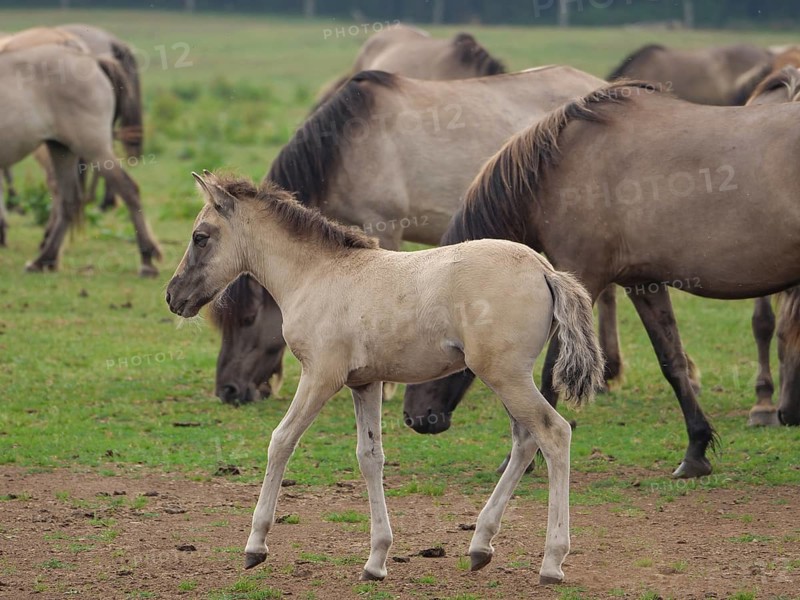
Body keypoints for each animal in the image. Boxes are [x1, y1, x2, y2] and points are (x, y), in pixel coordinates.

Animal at [0, 43, 161, 275]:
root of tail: (92, 60)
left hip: (94, 148)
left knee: (128, 190)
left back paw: (147, 259)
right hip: (62, 149)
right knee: (70, 200)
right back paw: (44, 260)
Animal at [166, 171, 604, 586]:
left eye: (200, 237)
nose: (173, 296)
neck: (317, 274)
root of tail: (546, 270)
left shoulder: (320, 376)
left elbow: (281, 440)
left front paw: (255, 545)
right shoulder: (365, 383)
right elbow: (370, 457)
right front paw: (376, 560)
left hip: (506, 376)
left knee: (553, 433)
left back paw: (552, 561)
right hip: (506, 377)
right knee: (525, 441)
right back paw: (480, 545)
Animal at [405, 80, 800, 479]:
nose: (415, 417)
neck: (559, 168)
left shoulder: (584, 279)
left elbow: (549, 371)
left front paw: (522, 457)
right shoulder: (644, 285)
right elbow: (672, 362)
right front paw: (696, 450)